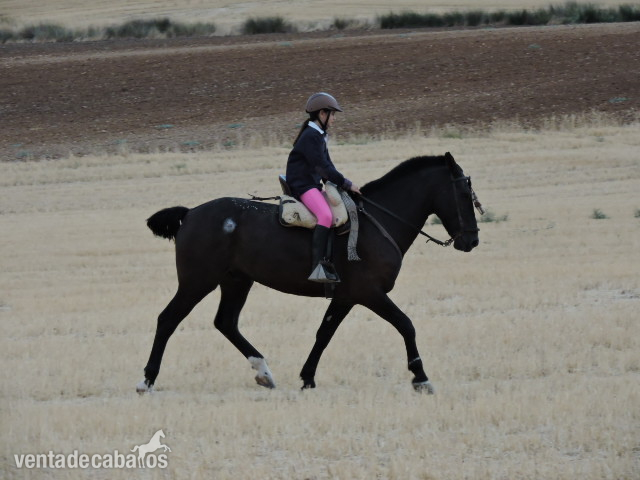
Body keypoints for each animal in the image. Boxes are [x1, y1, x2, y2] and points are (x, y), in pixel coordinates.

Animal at [136, 152, 481, 394]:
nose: (472, 241)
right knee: (168, 319)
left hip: (236, 281)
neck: (378, 221)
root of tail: (191, 213)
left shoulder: (346, 297)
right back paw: (147, 379)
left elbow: (323, 334)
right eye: (465, 195)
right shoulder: (370, 293)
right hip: (197, 282)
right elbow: (406, 325)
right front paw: (420, 377)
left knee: (225, 322)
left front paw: (307, 377)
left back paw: (263, 371)